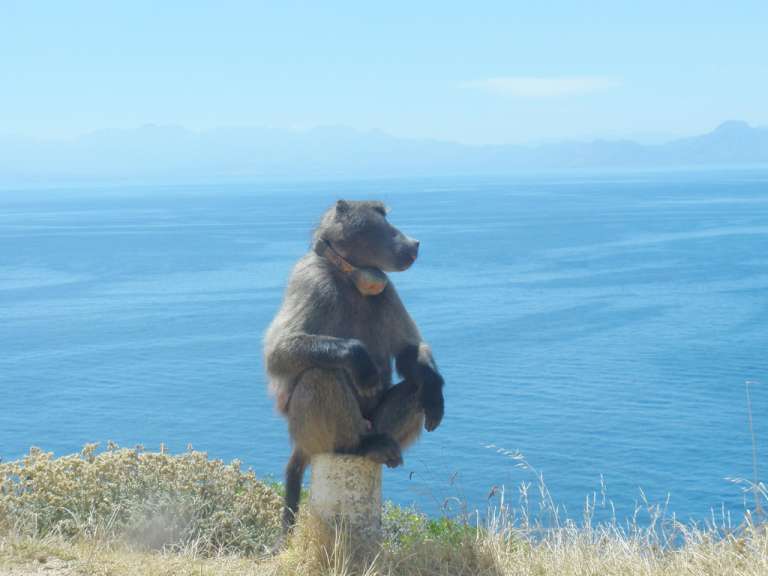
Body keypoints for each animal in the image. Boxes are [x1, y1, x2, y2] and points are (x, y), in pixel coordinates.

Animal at [263, 199, 445, 533]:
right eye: (384, 224)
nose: (414, 243)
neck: (348, 277)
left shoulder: (387, 290)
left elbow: (409, 350)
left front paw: (435, 391)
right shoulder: (310, 280)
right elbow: (278, 353)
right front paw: (359, 360)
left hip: (376, 422)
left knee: (417, 387)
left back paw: (386, 438)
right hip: (310, 432)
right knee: (320, 375)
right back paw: (357, 446)